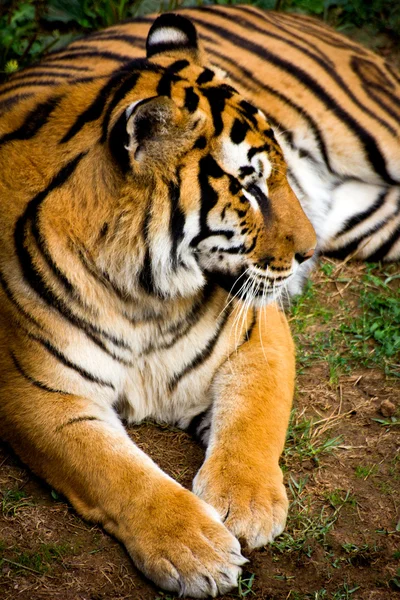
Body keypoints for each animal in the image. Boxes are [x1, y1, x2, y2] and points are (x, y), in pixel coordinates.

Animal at [0, 9, 318, 600]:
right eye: (250, 188)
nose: (312, 251)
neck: (145, 298)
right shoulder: (39, 393)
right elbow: (118, 473)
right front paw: (197, 549)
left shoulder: (256, 336)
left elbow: (252, 421)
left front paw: (244, 505)